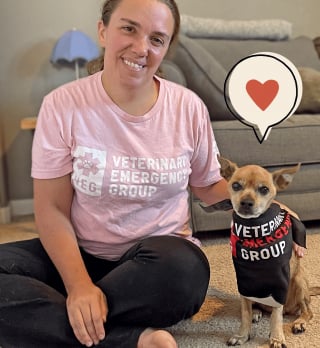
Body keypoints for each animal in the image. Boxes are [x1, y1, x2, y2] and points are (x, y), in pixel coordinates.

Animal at [202, 157, 320, 346]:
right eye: (236, 185)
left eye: (264, 189)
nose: (246, 203)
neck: (254, 230)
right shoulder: (244, 281)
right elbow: (245, 313)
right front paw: (242, 335)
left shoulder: (279, 282)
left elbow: (276, 316)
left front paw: (276, 338)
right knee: (258, 307)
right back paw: (257, 312)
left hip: (300, 281)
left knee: (306, 311)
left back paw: (299, 322)